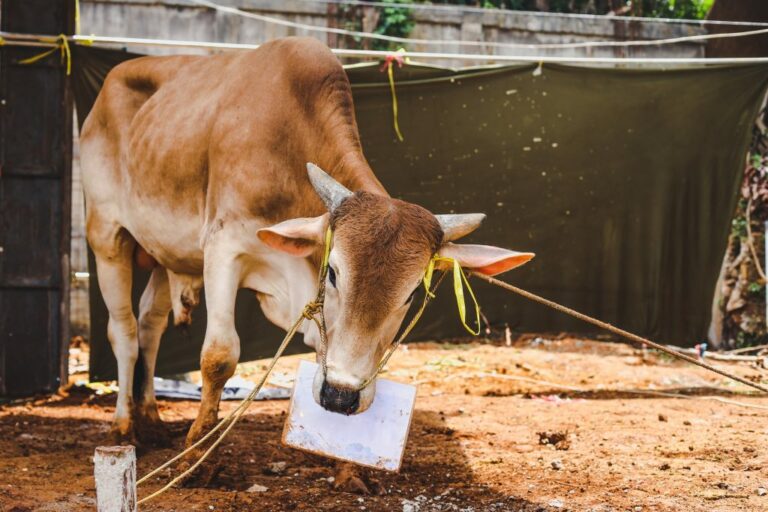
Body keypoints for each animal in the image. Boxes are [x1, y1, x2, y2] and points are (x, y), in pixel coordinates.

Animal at [80, 37, 533, 485]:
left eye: (409, 295)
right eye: (333, 273)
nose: (341, 394)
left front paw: (347, 467)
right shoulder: (224, 247)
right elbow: (219, 356)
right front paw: (196, 457)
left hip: (165, 256)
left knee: (149, 326)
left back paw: (152, 419)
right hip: (107, 236)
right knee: (124, 332)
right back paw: (124, 426)